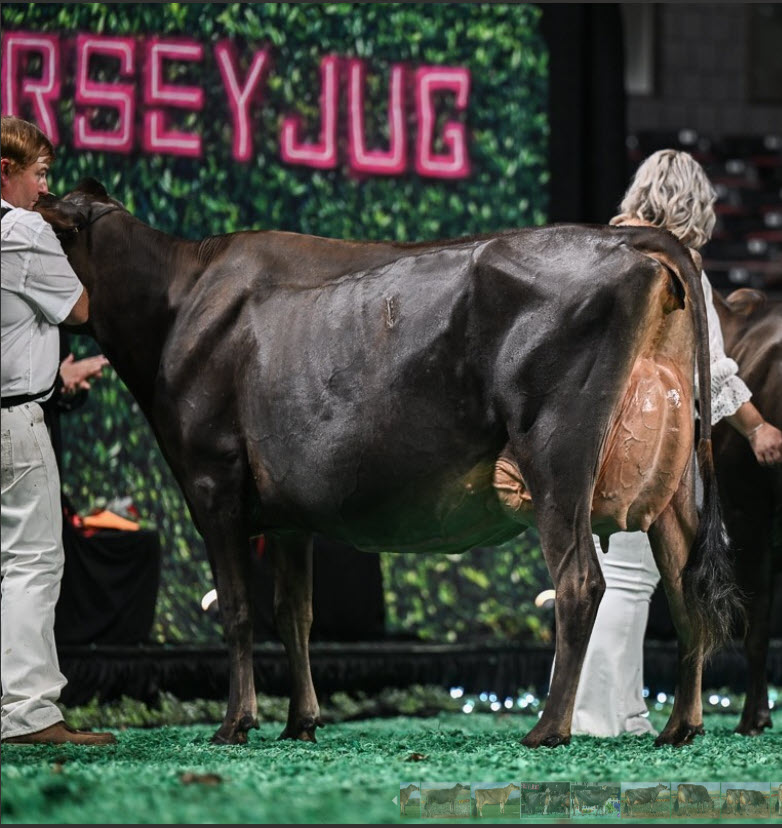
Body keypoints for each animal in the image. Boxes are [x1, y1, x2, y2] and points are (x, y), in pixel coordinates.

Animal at [36, 179, 741, 748]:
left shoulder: (211, 482)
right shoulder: (286, 515)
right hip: (672, 479)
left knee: (579, 583)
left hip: (557, 454)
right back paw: (681, 726)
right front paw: (301, 722)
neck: (176, 301)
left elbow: (237, 610)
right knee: (685, 587)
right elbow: (295, 613)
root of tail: (627, 240)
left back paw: (548, 728)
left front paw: (236, 723)